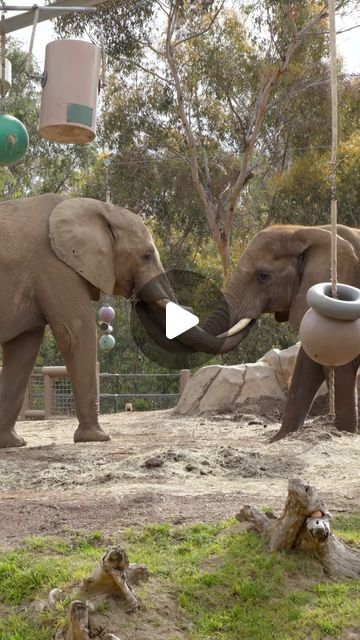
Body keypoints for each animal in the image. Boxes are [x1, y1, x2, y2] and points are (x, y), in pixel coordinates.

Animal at [0, 192, 242, 448]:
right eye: (146, 256)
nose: (137, 297)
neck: (96, 207)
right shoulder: (54, 266)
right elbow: (76, 333)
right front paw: (98, 438)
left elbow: (23, 350)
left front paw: (13, 443)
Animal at [202, 224, 360, 440]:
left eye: (263, 276)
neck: (309, 231)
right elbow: (308, 364)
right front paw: (278, 439)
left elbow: (338, 365)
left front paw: (345, 433)